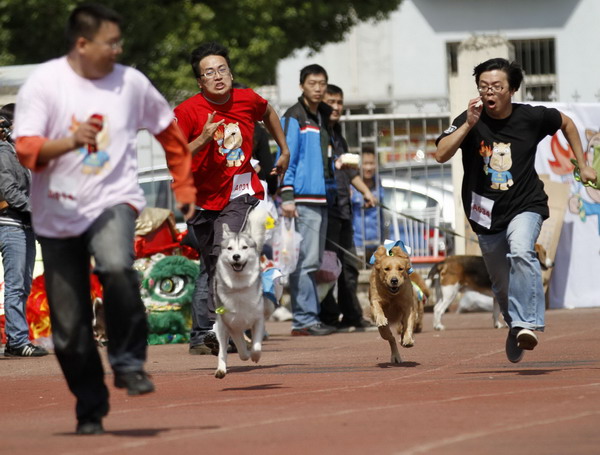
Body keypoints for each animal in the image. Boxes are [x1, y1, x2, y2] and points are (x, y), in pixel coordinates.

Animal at [212, 208, 270, 380]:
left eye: (244, 247)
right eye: (230, 249)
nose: (236, 256)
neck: (239, 287)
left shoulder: (258, 319)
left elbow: (256, 346)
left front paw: (255, 356)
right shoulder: (230, 324)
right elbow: (235, 349)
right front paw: (243, 356)